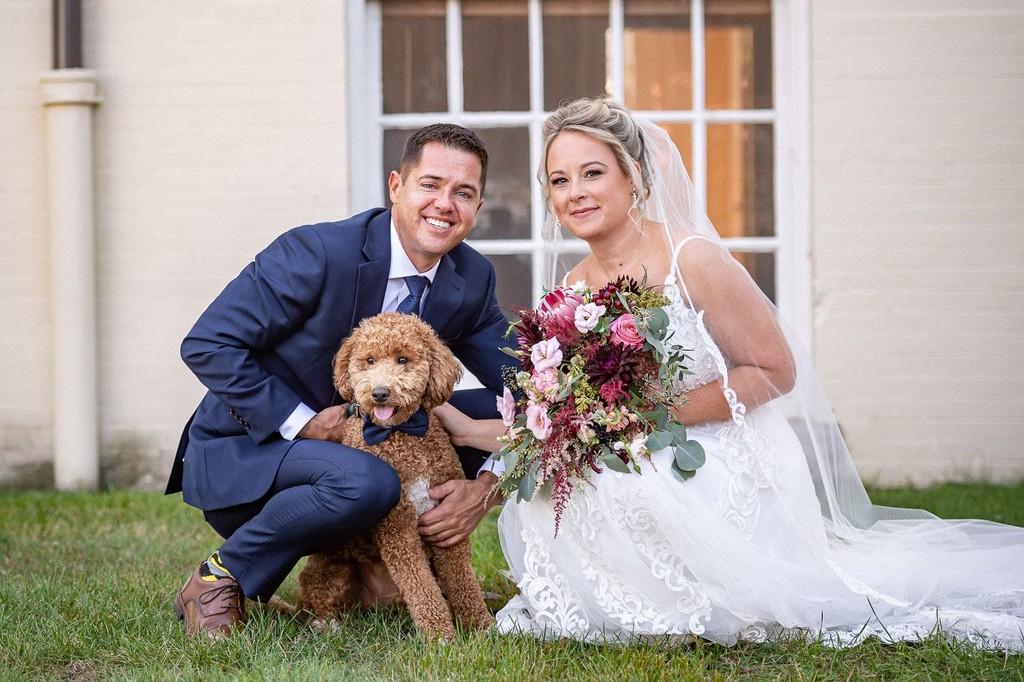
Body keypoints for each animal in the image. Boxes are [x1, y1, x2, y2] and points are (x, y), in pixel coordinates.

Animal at [296, 313, 495, 638]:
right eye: (369, 360)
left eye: (403, 359)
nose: (379, 393)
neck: (401, 434)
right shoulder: (398, 527)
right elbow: (421, 587)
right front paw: (440, 636)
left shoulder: (448, 522)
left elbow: (463, 580)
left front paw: (481, 626)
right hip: (332, 565)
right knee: (314, 593)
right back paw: (325, 623)